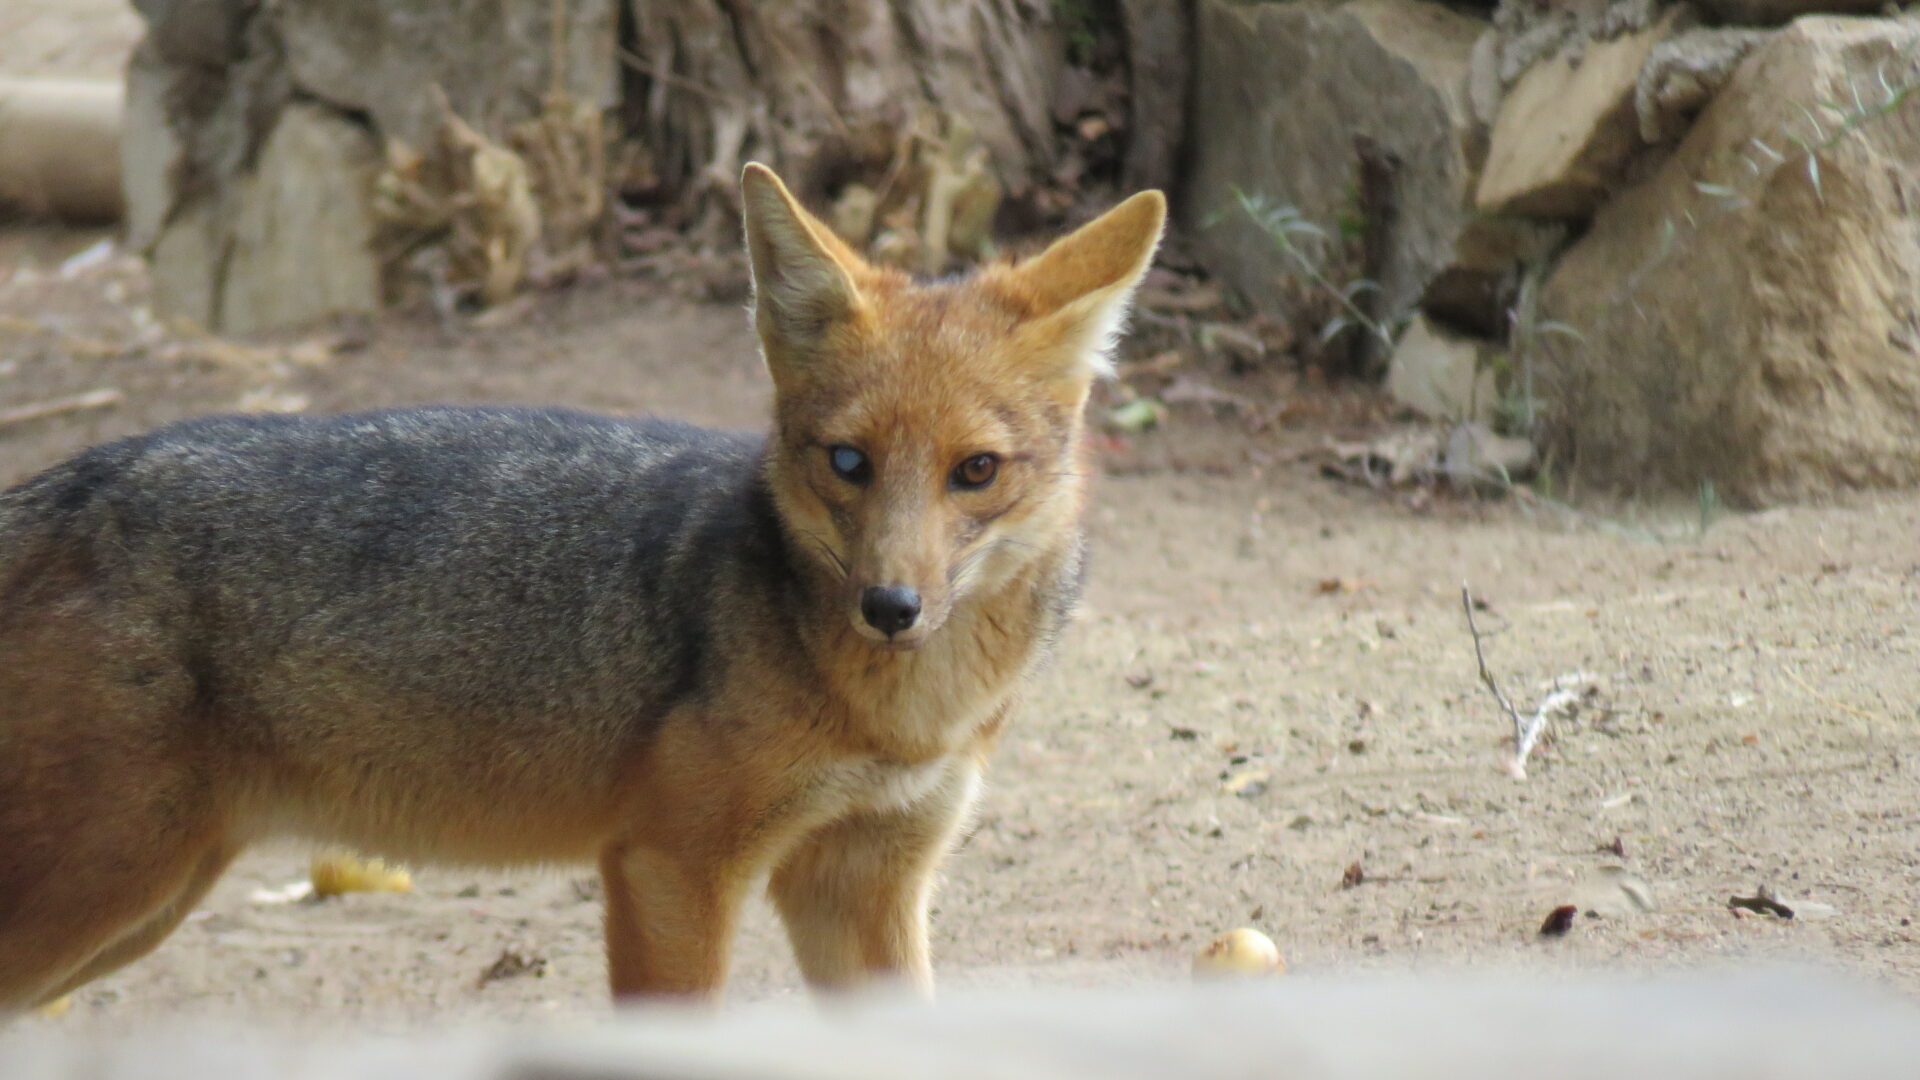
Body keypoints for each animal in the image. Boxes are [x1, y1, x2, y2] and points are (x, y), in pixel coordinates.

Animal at [0, 164, 1167, 1006]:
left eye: (976, 471)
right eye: (848, 462)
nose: (890, 609)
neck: (896, 716)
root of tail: (57, 483)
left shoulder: (861, 882)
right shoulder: (671, 870)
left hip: (142, 905)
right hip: (109, 895)